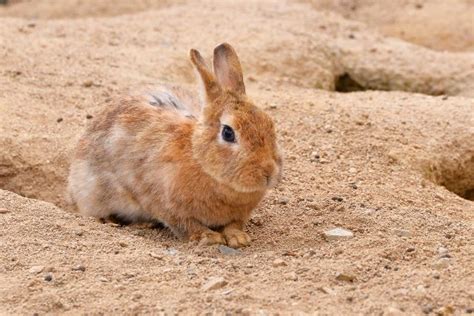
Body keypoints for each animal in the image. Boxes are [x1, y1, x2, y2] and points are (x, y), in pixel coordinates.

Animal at [66, 43, 282, 248]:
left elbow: (234, 224)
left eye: (270, 123)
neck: (198, 158)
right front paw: (209, 237)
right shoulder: (163, 203)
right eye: (228, 133)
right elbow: (186, 224)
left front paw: (238, 238)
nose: (269, 173)